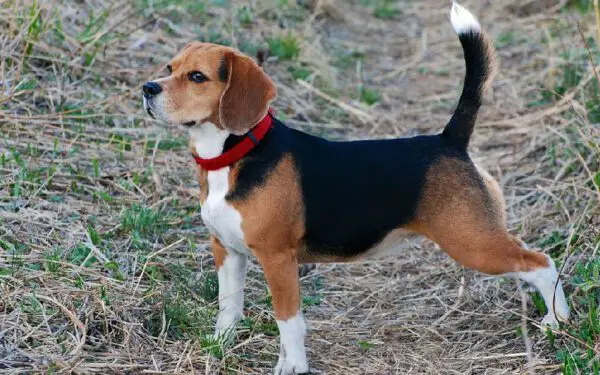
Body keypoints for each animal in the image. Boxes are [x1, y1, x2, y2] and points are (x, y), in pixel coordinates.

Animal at [143, 3, 568, 375]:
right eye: (170, 68)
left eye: (198, 77)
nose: (147, 88)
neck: (232, 154)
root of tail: (449, 141)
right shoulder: (227, 251)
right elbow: (228, 307)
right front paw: (219, 346)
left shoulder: (278, 258)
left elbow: (288, 320)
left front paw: (293, 366)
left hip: (473, 244)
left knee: (542, 263)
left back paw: (557, 321)